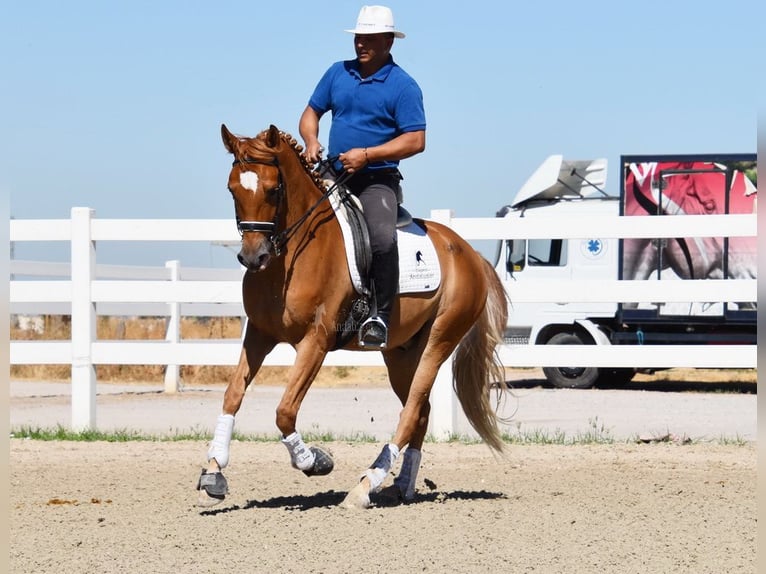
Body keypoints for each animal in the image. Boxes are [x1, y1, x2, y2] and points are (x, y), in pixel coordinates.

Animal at [196, 125, 510, 508]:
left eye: (273, 189)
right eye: (232, 189)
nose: (254, 257)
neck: (290, 258)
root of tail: (470, 253)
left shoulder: (315, 341)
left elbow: (285, 410)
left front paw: (315, 461)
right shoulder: (259, 334)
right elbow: (232, 395)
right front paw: (213, 472)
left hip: (440, 340)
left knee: (411, 411)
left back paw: (365, 485)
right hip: (400, 354)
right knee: (420, 411)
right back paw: (400, 485)